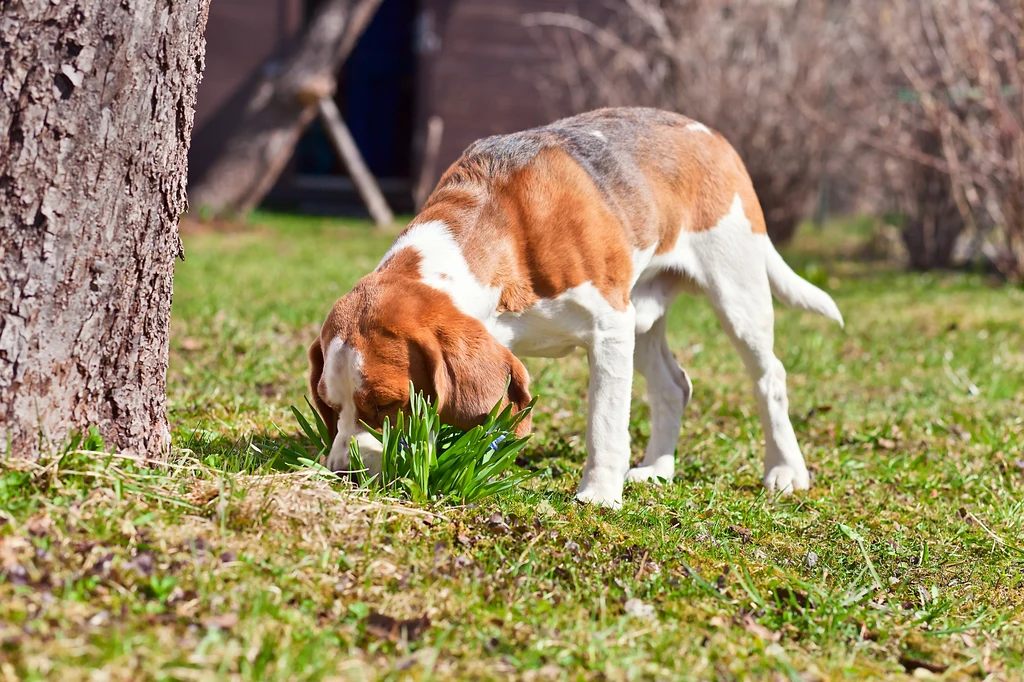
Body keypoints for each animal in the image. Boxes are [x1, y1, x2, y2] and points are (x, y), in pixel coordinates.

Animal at [307, 107, 843, 503]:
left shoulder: (609, 329)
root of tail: (710, 134)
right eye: (329, 406)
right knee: (674, 387)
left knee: (769, 378)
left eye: (387, 406)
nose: (343, 472)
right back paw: (657, 468)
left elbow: (604, 422)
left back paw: (785, 470)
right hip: (644, 316)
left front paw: (599, 495)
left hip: (736, 294)